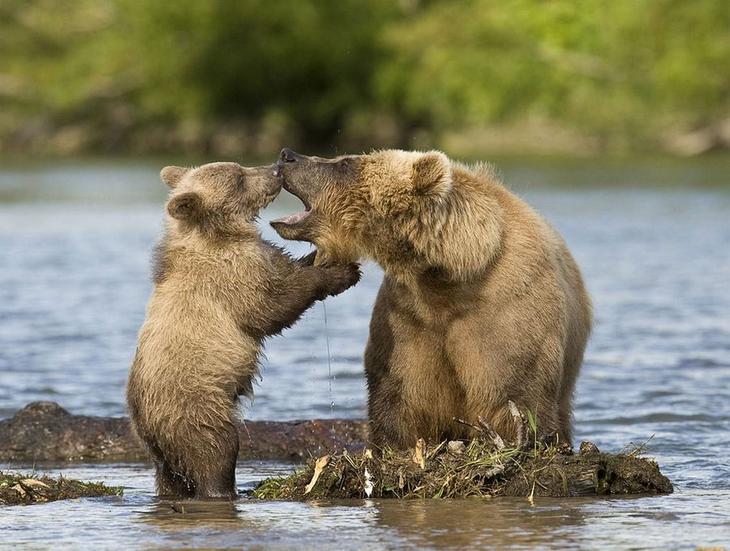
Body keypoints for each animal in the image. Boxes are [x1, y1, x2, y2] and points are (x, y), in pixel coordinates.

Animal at [129, 161, 362, 500]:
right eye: (239, 179)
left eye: (240, 167)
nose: (276, 168)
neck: (217, 234)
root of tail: (147, 427)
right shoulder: (231, 275)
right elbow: (273, 306)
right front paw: (341, 273)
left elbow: (289, 267)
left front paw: (328, 257)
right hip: (195, 407)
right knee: (216, 450)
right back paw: (226, 489)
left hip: (161, 451)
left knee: (170, 476)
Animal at [270, 149, 588, 450]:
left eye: (345, 163)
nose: (288, 155)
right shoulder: (408, 318)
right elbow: (400, 393)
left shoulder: (506, 308)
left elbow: (514, 391)